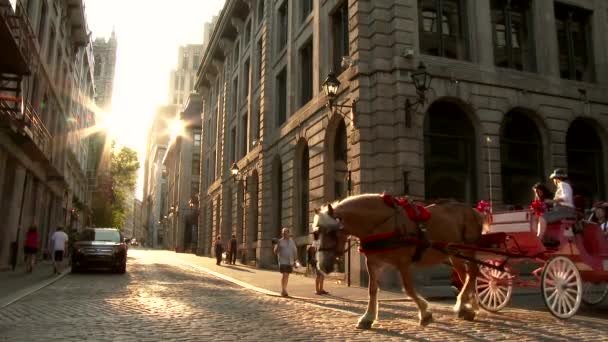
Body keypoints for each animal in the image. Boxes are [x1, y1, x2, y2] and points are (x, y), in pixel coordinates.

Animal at [312, 194, 486, 328]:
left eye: (333, 233)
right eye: (315, 234)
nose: (322, 266)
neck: (383, 224)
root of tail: (473, 210)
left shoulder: (403, 262)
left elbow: (408, 288)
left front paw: (425, 313)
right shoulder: (373, 262)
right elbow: (372, 289)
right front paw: (368, 317)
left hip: (468, 248)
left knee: (473, 272)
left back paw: (463, 303)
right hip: (454, 254)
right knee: (466, 277)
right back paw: (469, 307)